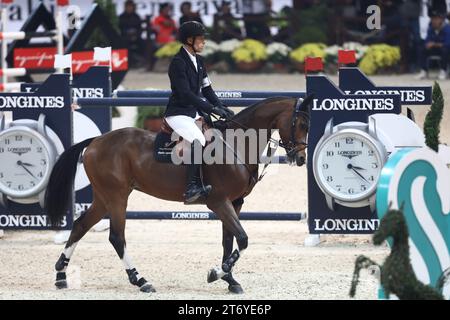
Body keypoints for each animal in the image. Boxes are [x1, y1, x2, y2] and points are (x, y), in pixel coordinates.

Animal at [44, 94, 312, 292]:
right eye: (300, 124)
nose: (300, 159)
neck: (237, 145)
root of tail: (96, 141)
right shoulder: (219, 202)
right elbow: (243, 238)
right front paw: (216, 273)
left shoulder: (235, 203)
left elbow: (229, 240)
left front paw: (229, 279)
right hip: (117, 197)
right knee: (117, 237)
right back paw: (141, 280)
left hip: (104, 198)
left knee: (81, 225)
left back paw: (60, 274)